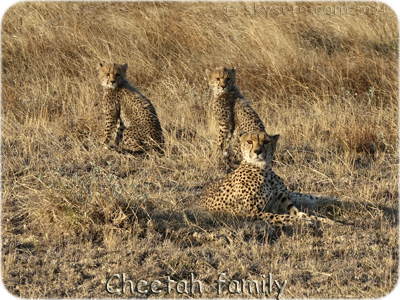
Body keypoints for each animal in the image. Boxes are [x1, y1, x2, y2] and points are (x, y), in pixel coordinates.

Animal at [202, 131, 336, 225]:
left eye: (266, 142)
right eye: (249, 141)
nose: (257, 151)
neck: (264, 170)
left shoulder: (288, 207)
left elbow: (307, 215)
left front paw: (331, 222)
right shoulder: (252, 212)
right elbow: (280, 217)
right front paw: (304, 222)